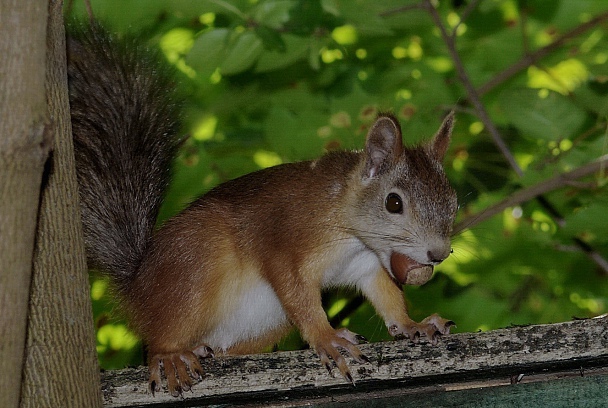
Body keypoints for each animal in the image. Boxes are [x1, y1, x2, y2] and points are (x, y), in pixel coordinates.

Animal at [67, 21, 456, 396]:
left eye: (453, 202)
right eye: (394, 203)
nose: (438, 254)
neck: (352, 232)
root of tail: (138, 287)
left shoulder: (367, 266)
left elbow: (387, 297)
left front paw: (413, 325)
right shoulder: (287, 239)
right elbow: (296, 292)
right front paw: (327, 337)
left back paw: (210, 352)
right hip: (197, 259)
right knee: (160, 338)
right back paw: (171, 355)